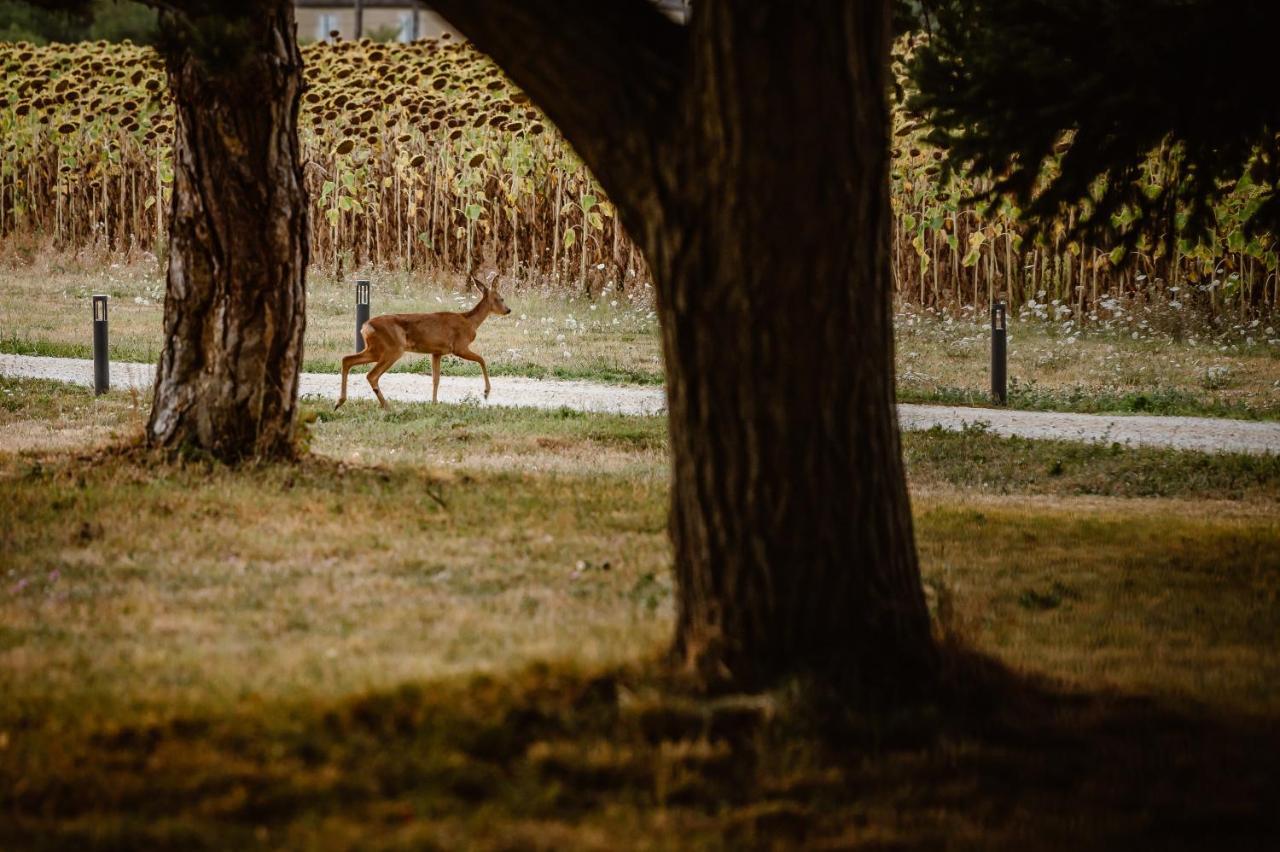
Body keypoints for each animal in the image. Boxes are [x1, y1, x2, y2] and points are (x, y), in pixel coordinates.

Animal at [337, 269, 512, 406]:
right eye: (501, 298)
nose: (508, 310)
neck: (470, 322)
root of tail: (365, 327)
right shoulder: (459, 346)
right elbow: (482, 360)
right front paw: (486, 392)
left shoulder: (437, 352)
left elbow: (436, 379)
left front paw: (434, 402)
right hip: (392, 349)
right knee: (371, 375)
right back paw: (386, 406)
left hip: (375, 349)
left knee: (347, 359)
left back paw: (340, 402)